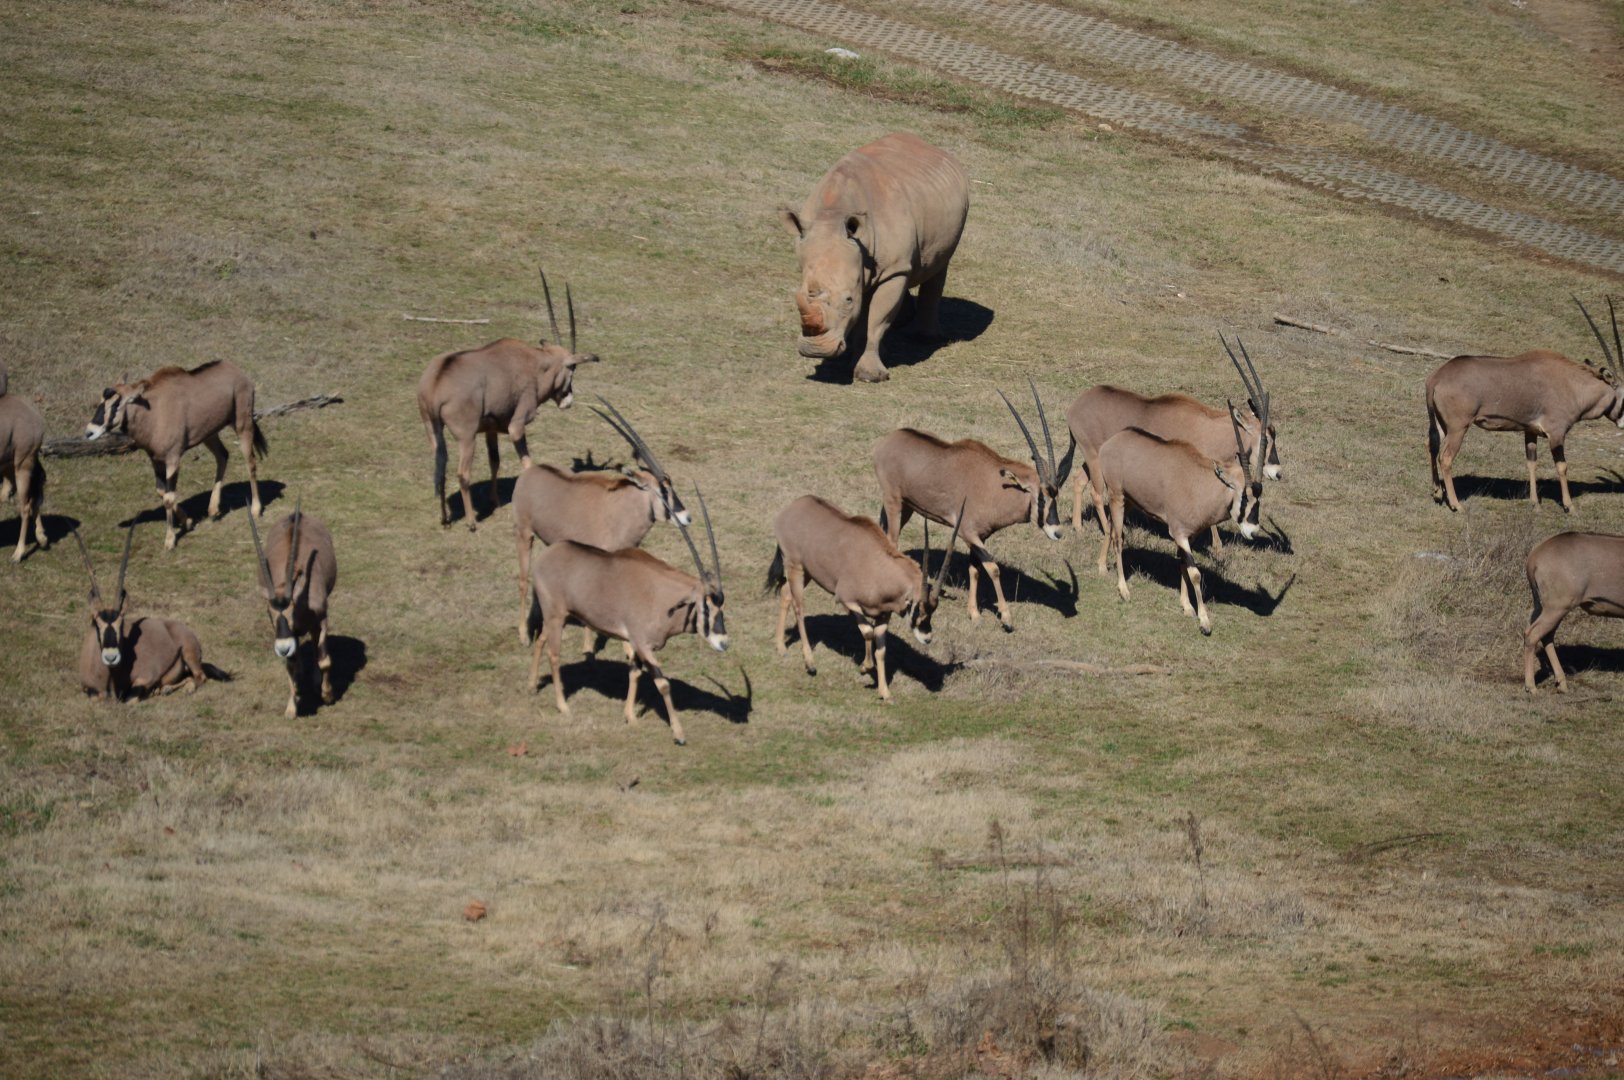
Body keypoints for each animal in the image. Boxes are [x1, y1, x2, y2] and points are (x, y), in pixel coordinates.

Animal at [780, 132, 970, 383]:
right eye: (800, 296)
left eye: (848, 299)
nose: (815, 350)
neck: (832, 218)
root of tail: (935, 149)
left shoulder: (893, 271)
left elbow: (875, 321)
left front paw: (869, 375)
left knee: (938, 266)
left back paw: (924, 337)